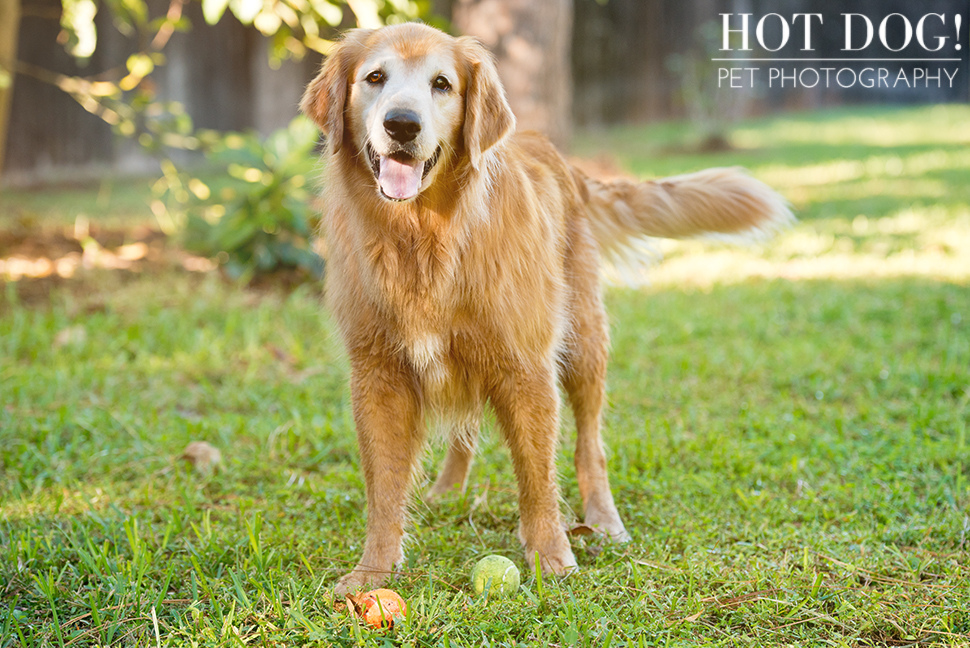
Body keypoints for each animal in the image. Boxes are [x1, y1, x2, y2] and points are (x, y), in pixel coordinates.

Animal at [302, 22, 796, 596]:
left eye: (441, 84)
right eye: (375, 78)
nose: (402, 123)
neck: (425, 238)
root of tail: (564, 161)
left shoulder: (527, 368)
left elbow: (538, 476)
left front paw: (551, 556)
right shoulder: (378, 374)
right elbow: (383, 490)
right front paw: (372, 573)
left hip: (583, 344)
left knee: (590, 445)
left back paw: (603, 519)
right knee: (467, 431)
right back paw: (448, 491)